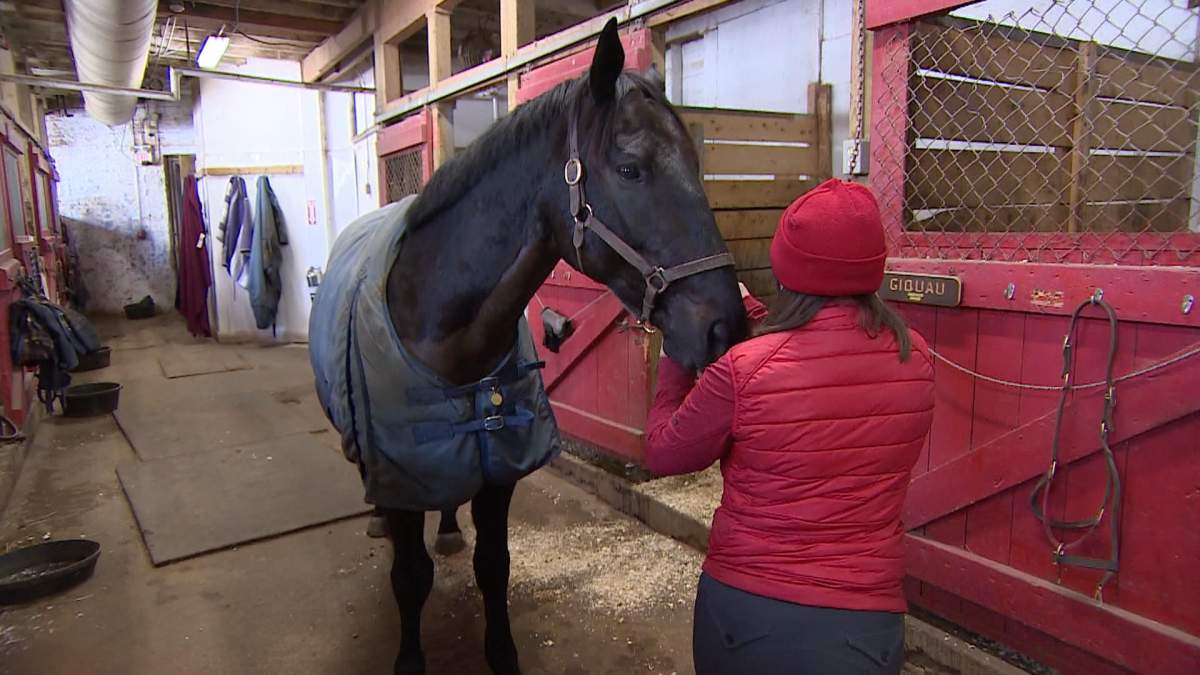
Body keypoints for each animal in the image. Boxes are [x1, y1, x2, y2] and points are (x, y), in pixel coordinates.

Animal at [310, 19, 747, 675]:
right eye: (630, 169)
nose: (727, 327)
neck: (442, 333)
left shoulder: (499, 474)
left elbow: (494, 567)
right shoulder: (403, 475)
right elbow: (410, 578)